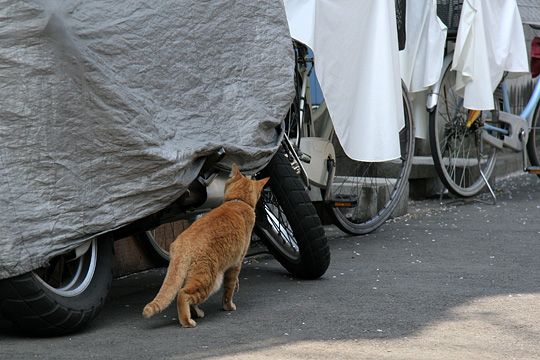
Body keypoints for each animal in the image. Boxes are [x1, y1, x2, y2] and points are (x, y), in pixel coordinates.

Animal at [142, 165, 268, 328]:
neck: (238, 201)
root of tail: (182, 244)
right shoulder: (236, 264)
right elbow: (229, 289)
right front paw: (229, 306)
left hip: (192, 276)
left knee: (185, 295)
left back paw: (197, 313)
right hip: (209, 280)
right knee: (182, 294)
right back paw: (187, 321)